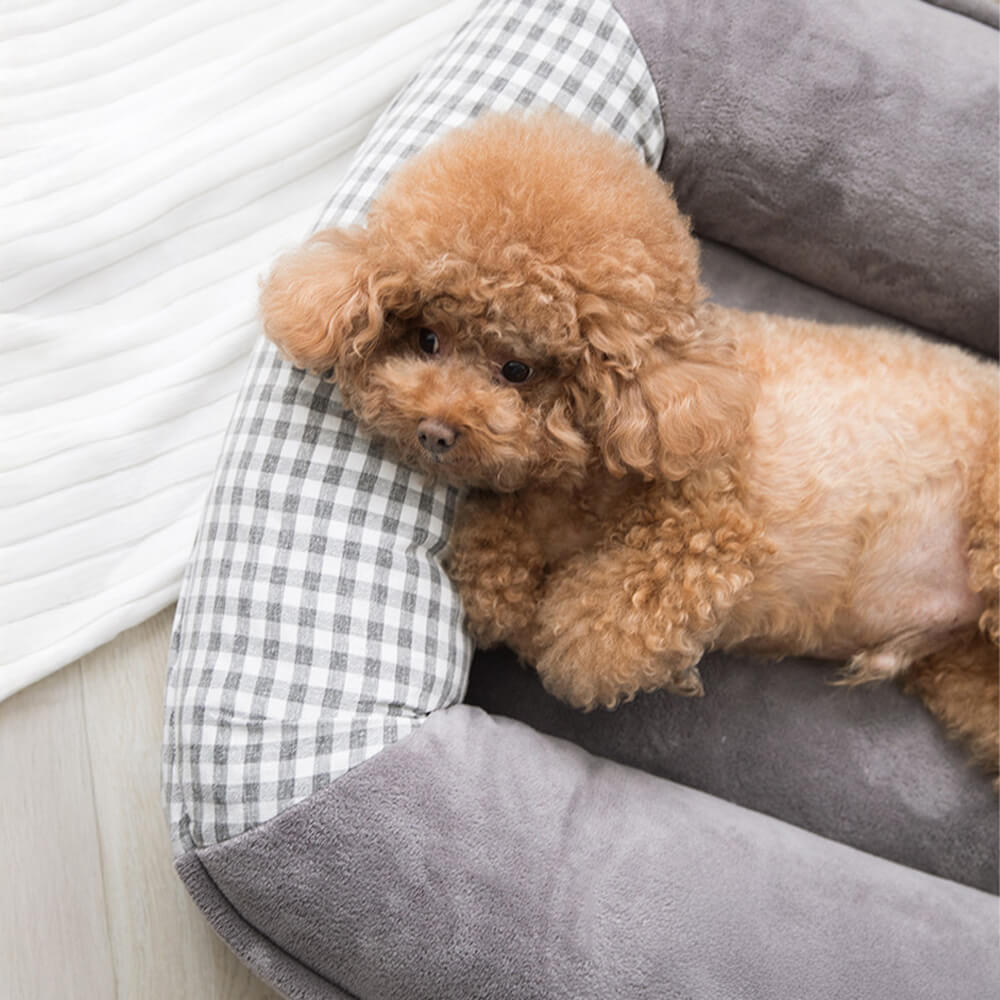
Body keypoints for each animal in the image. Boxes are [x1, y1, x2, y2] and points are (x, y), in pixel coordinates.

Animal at [260, 115, 1000, 772]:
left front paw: (590, 648)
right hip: (962, 671)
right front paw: (511, 591)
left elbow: (593, 631)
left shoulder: (709, 527)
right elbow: (489, 576)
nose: (434, 431)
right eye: (427, 339)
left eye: (518, 369)